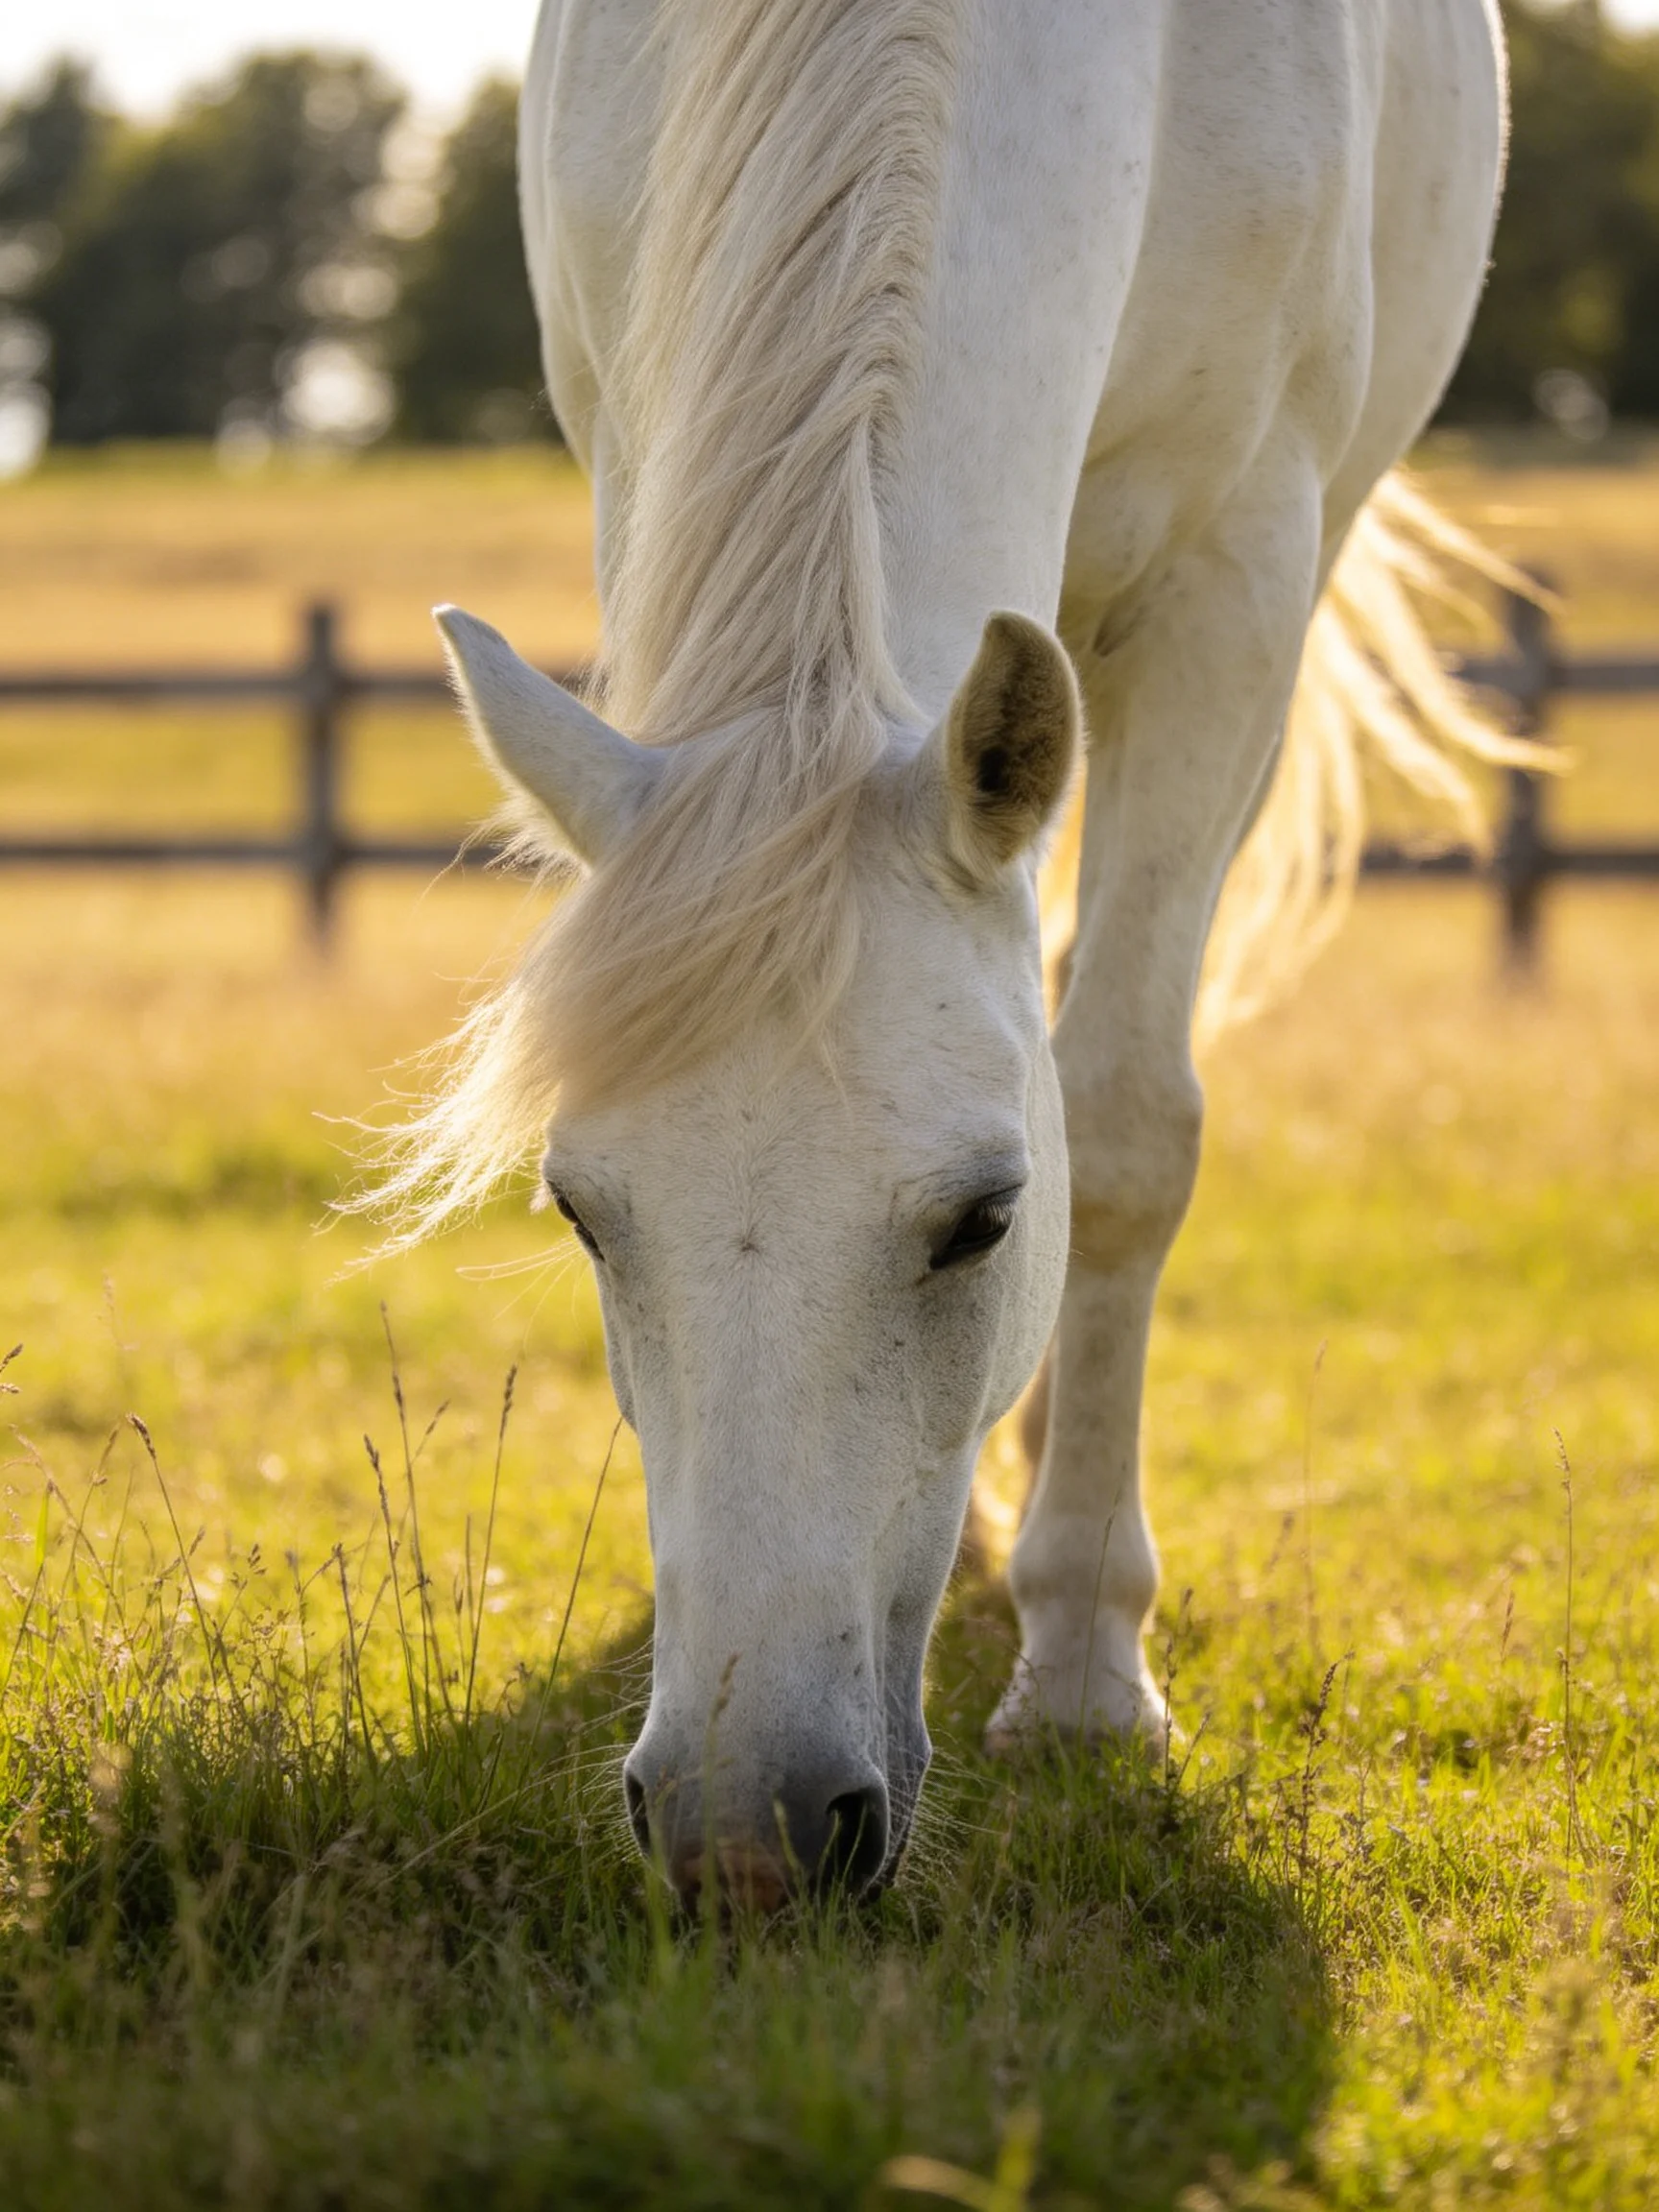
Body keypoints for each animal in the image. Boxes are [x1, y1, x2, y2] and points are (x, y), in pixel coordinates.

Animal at [371, 0, 1518, 1909]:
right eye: (581, 1214)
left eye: (982, 1220)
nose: (744, 1838)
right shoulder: (644, 460)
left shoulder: (1234, 575)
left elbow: (1120, 1128)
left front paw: (1085, 1669)